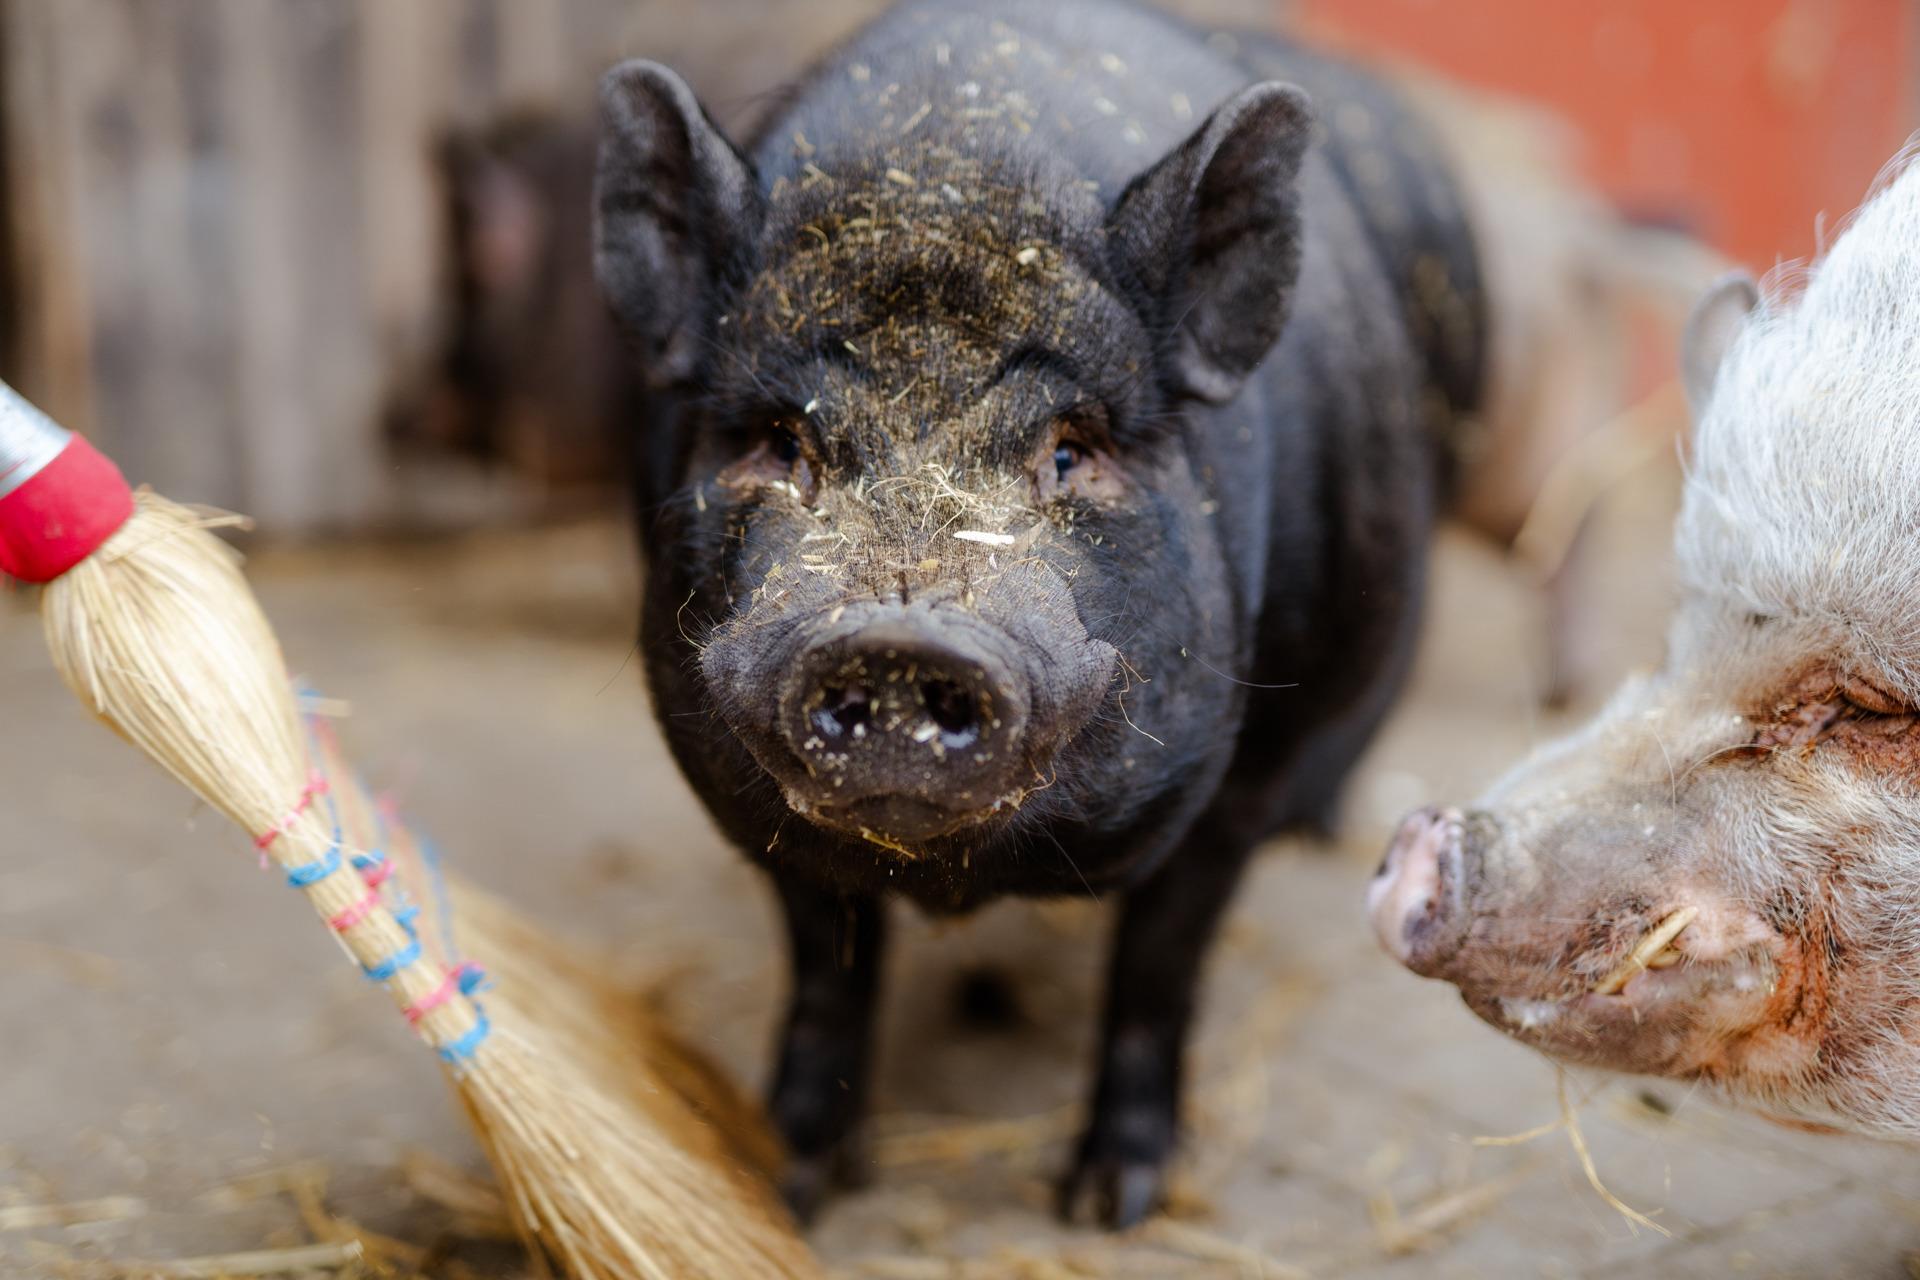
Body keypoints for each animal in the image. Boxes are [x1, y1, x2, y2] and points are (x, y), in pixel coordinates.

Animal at [597, 0, 1488, 1224]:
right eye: (780, 443)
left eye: (1071, 449)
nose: (898, 636)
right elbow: (827, 965)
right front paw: (792, 1182)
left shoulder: (1236, 780)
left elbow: (1159, 965)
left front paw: (1108, 1204)